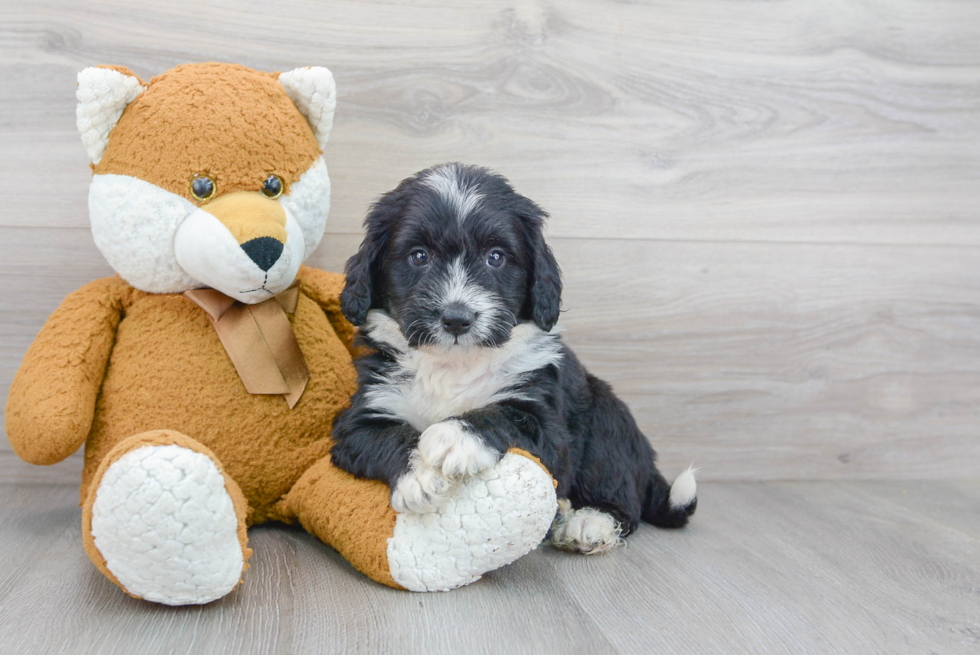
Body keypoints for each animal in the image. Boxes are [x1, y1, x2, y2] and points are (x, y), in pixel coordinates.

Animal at [334, 164, 700, 552]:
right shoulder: (360, 418)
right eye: (419, 256)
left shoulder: (548, 424)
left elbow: (505, 415)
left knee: (623, 497)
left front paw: (452, 436)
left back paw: (589, 522)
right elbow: (385, 436)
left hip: (607, 420)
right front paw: (418, 476)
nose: (457, 318)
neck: (453, 363)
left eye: (495, 257)